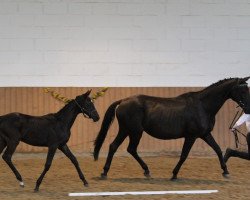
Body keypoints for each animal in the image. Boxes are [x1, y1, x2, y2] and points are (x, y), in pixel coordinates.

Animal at [94, 77, 250, 180]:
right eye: (242, 90)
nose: (248, 108)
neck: (203, 106)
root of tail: (123, 101)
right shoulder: (191, 136)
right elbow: (184, 155)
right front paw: (174, 174)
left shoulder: (205, 134)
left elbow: (217, 149)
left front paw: (226, 171)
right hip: (134, 131)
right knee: (128, 148)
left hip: (127, 130)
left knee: (116, 147)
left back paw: (110, 172)